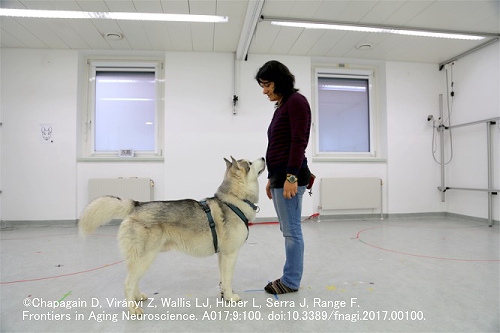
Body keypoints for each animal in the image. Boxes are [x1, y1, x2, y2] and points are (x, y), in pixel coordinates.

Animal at [78, 157, 266, 312]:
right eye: (249, 163)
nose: (263, 158)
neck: (234, 200)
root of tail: (137, 205)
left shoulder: (222, 255)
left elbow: (223, 279)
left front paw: (224, 294)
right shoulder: (230, 254)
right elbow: (228, 279)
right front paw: (229, 297)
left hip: (140, 258)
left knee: (133, 279)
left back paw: (138, 297)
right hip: (145, 257)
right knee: (128, 282)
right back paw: (133, 309)